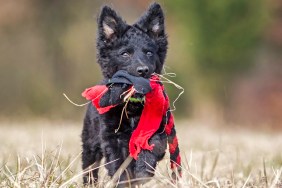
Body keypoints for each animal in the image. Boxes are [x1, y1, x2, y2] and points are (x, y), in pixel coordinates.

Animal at [81, 3, 181, 187]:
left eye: (149, 53)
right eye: (125, 54)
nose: (143, 70)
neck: (133, 105)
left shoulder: (158, 131)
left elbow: (150, 149)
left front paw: (142, 172)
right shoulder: (112, 138)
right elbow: (119, 168)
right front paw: (124, 181)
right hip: (90, 144)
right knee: (89, 168)